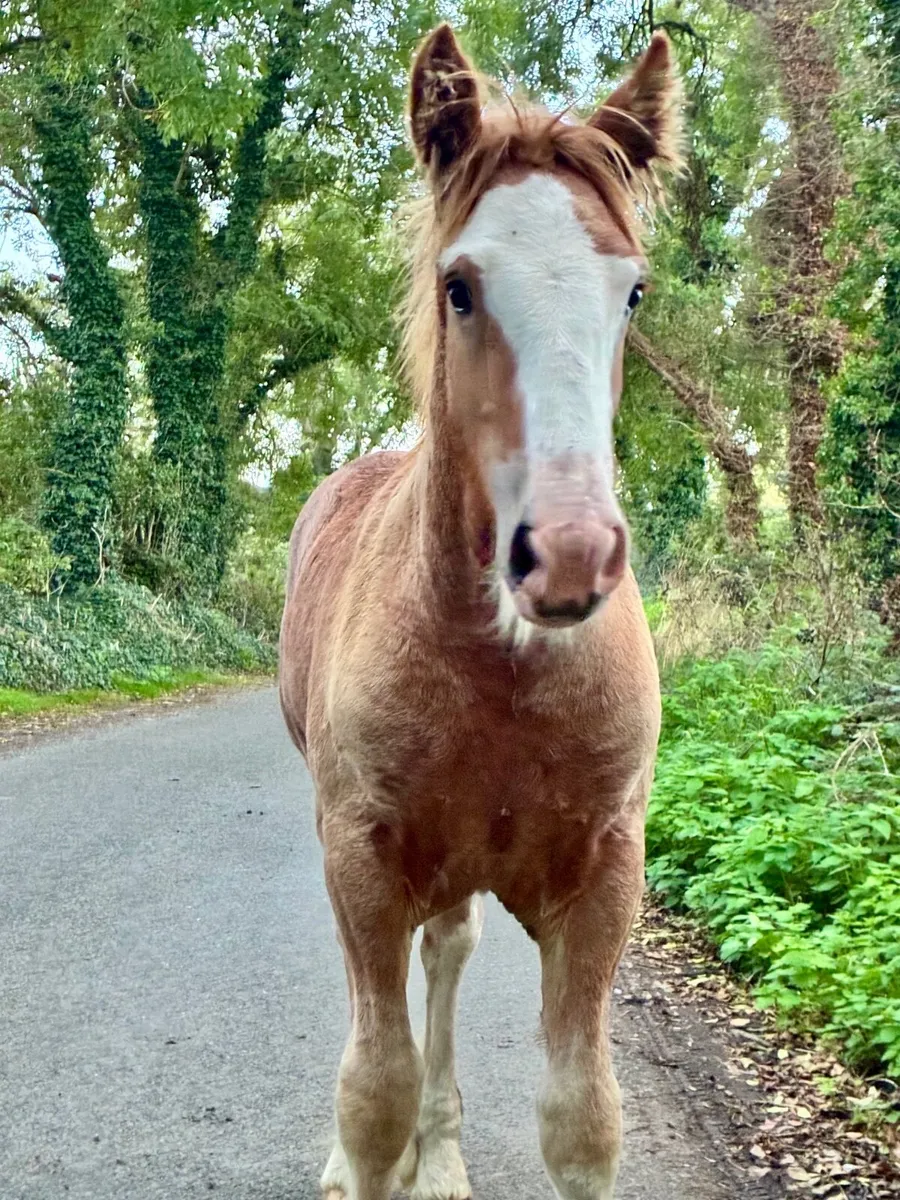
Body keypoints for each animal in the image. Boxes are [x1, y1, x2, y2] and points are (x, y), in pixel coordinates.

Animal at [279, 23, 680, 1200]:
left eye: (631, 293)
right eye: (460, 287)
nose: (569, 554)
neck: (498, 669)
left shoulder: (603, 874)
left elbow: (583, 1120)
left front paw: (442, 1148)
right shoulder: (361, 859)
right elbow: (372, 1094)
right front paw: (369, 1155)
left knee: (448, 951)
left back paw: (445, 1152)